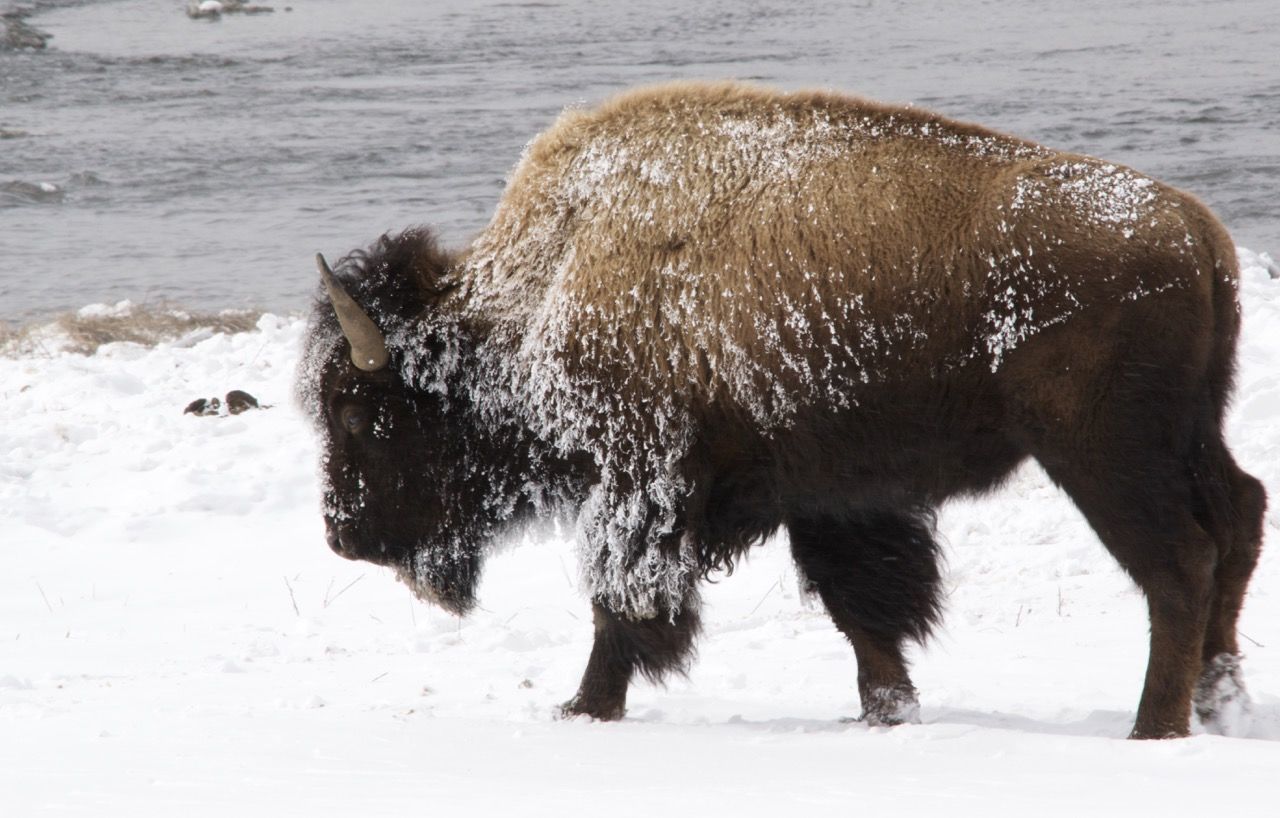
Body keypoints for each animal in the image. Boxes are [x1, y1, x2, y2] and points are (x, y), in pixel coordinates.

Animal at [302, 80, 1269, 737]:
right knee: (1240, 520)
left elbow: (622, 604)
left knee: (1179, 563)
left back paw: (1153, 728)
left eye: (353, 412)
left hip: (1103, 454)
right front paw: (886, 712)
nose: (342, 535)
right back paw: (1219, 705)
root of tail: (1197, 231)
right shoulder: (829, 492)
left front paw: (583, 708)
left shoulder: (643, 484)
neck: (550, 279)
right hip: (1190, 435)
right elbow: (863, 605)